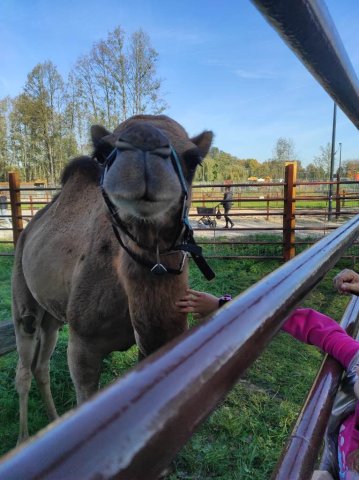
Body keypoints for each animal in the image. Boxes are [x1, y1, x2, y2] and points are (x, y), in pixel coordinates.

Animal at [11, 113, 214, 442]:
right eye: (103, 152)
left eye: (194, 159)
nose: (145, 140)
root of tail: (28, 227)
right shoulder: (82, 344)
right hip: (22, 290)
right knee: (24, 366)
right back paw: (24, 439)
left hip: (53, 315)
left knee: (42, 364)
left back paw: (53, 421)